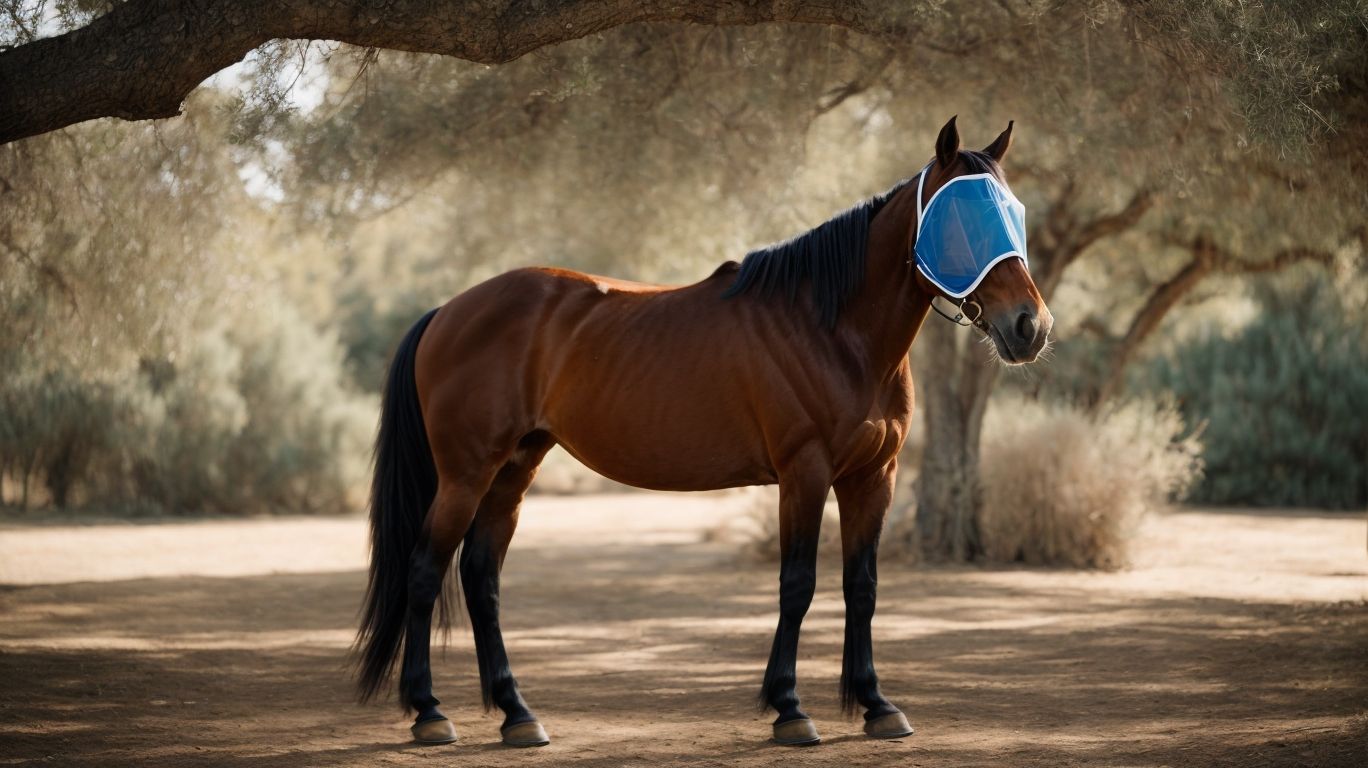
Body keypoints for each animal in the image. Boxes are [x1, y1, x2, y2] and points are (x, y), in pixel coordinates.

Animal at [354, 116, 1053, 748]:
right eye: (963, 218)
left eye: (1013, 213)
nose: (1031, 326)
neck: (834, 330)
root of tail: (448, 311)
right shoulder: (804, 474)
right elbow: (797, 585)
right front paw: (790, 710)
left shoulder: (871, 478)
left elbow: (863, 587)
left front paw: (877, 705)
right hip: (466, 474)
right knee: (425, 570)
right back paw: (429, 713)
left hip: (514, 469)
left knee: (481, 577)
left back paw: (516, 715)